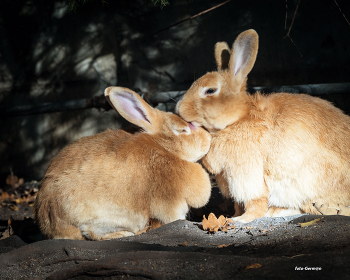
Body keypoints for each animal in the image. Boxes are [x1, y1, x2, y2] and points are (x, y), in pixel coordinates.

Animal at [34, 86, 212, 240]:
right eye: (183, 130)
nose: (208, 138)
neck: (162, 146)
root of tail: (46, 222)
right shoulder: (169, 204)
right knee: (93, 233)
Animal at [176, 29, 350, 223]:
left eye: (210, 90)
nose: (179, 108)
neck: (235, 120)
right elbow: (238, 204)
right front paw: (234, 216)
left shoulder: (248, 176)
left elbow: (255, 203)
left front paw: (240, 220)